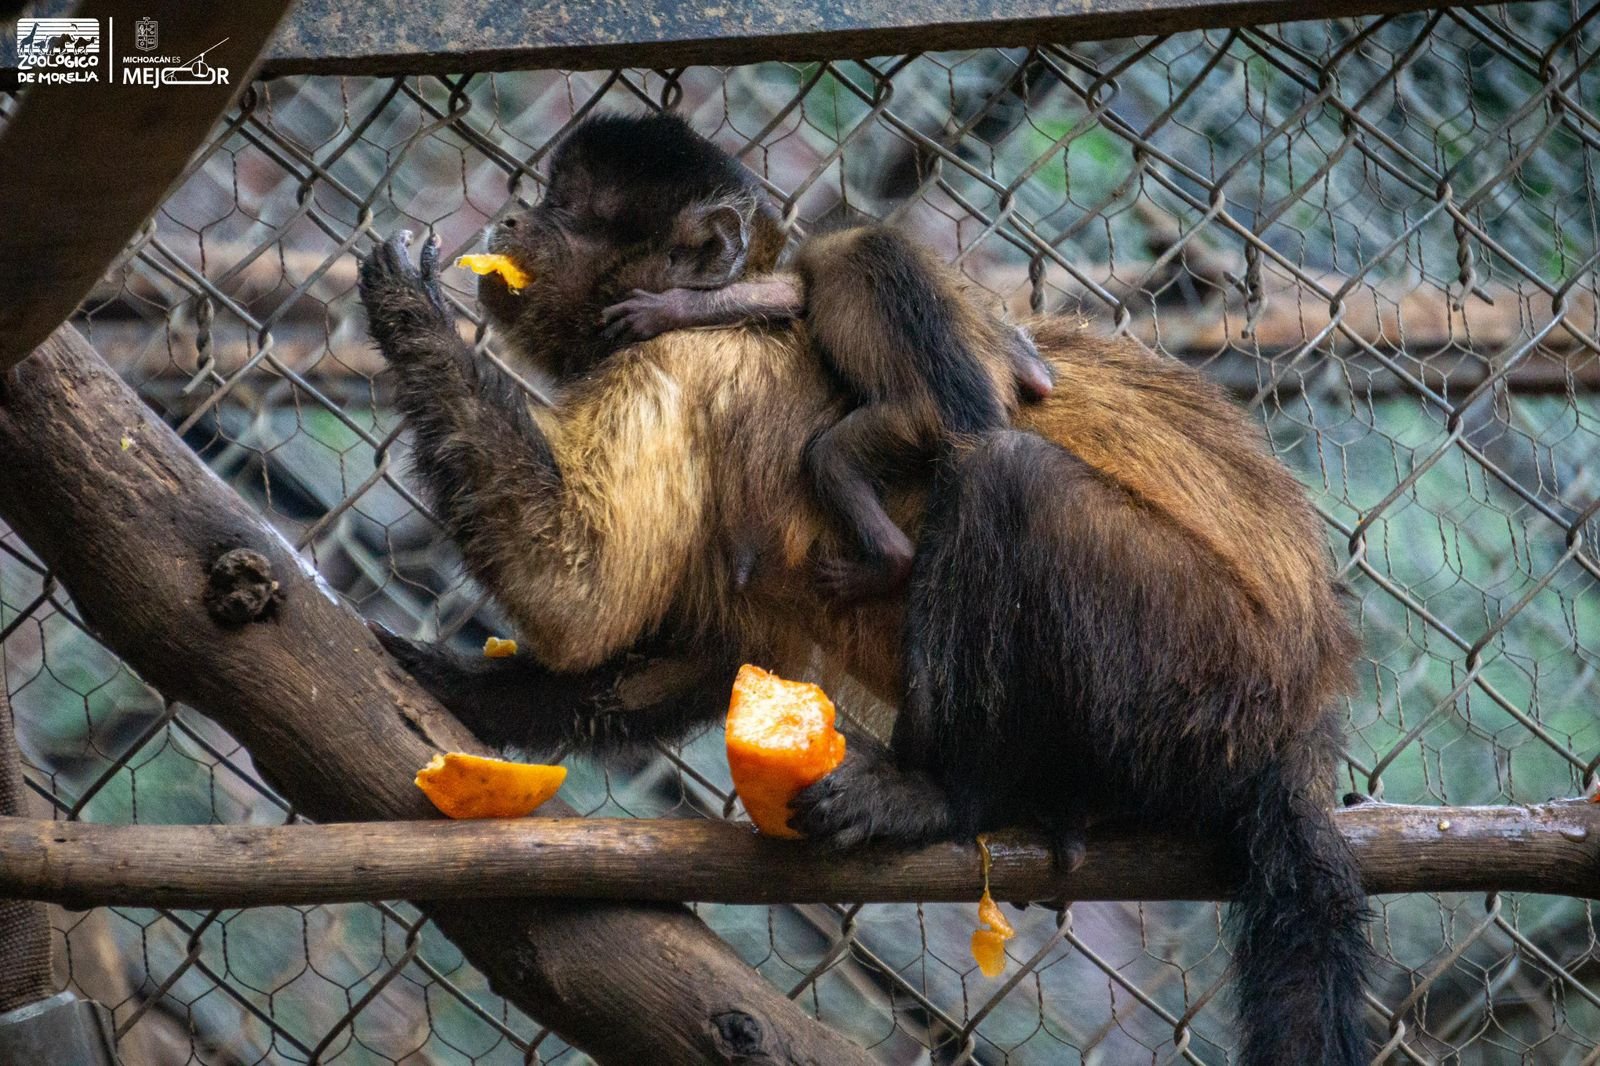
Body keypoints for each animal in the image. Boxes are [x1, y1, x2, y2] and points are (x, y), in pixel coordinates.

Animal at [597, 223, 1055, 600]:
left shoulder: (808, 265)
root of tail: (981, 419)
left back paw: (886, 565)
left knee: (830, 458)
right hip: (992, 358)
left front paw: (661, 310)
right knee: (1025, 367)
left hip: (912, 423)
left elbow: (778, 296)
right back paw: (1034, 370)